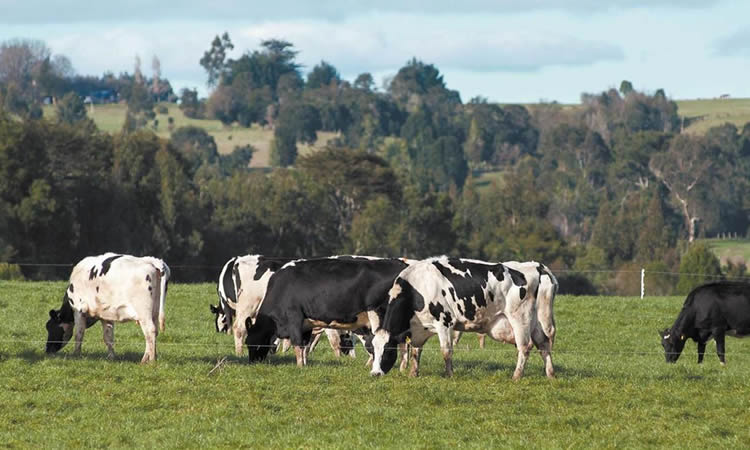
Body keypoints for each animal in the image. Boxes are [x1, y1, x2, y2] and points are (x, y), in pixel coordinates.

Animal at [247, 255, 414, 368]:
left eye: (249, 342)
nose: (253, 362)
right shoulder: (305, 324)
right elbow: (304, 345)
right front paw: (305, 365)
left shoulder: (293, 317)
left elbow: (297, 344)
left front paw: (299, 366)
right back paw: (402, 367)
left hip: (378, 314)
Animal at [374, 256, 544, 380]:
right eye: (372, 350)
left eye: (388, 350)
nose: (374, 373)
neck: (417, 287)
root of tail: (532, 267)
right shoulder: (419, 328)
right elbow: (416, 351)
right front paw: (413, 373)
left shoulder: (444, 322)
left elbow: (446, 351)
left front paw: (449, 375)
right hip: (536, 322)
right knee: (543, 344)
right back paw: (549, 374)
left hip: (520, 318)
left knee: (525, 347)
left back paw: (517, 376)